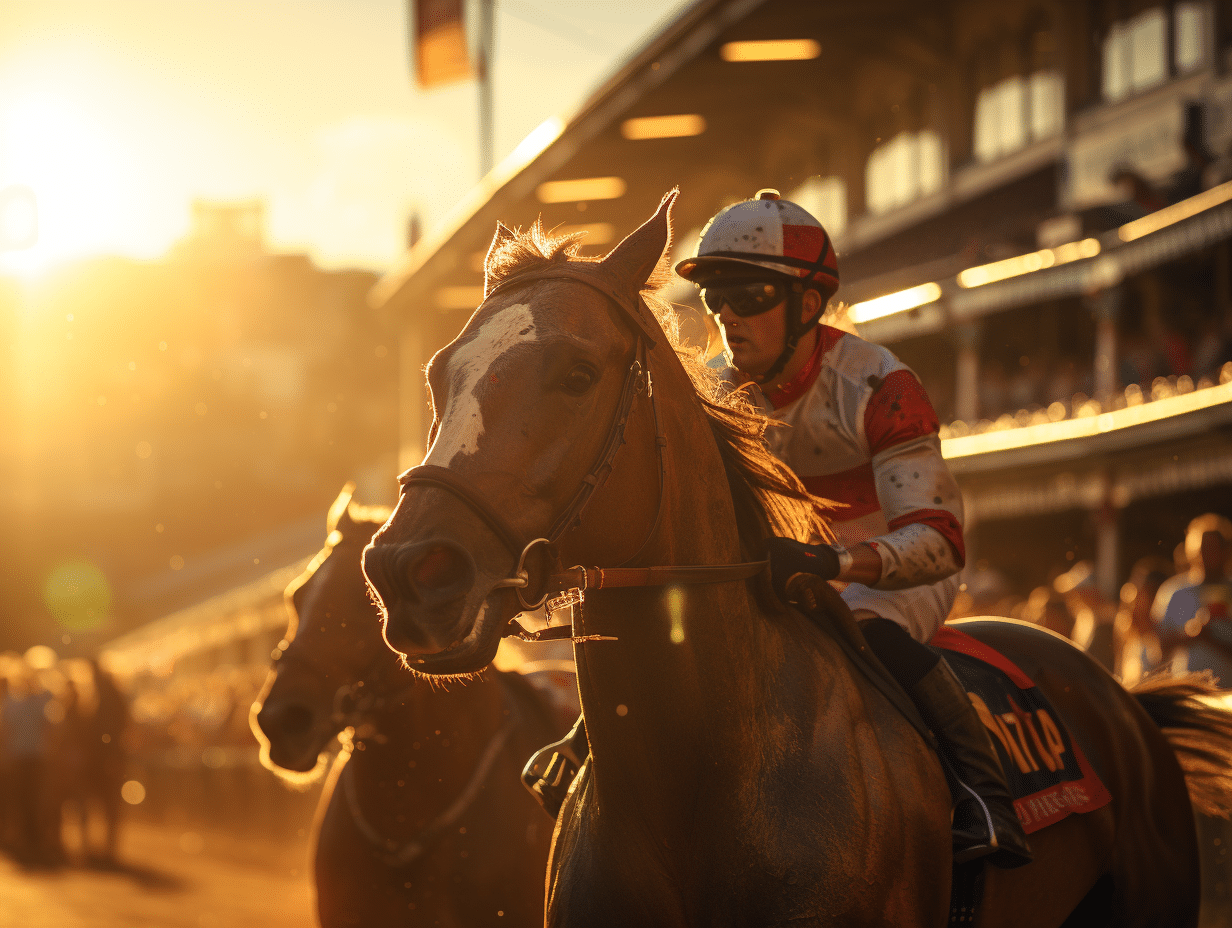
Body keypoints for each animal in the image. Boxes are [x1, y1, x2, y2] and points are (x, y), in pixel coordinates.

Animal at [359, 192, 1232, 921]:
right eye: (438, 376)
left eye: (577, 373)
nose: (407, 572)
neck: (694, 789)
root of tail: (1122, 693)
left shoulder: (896, 394)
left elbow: (932, 524)